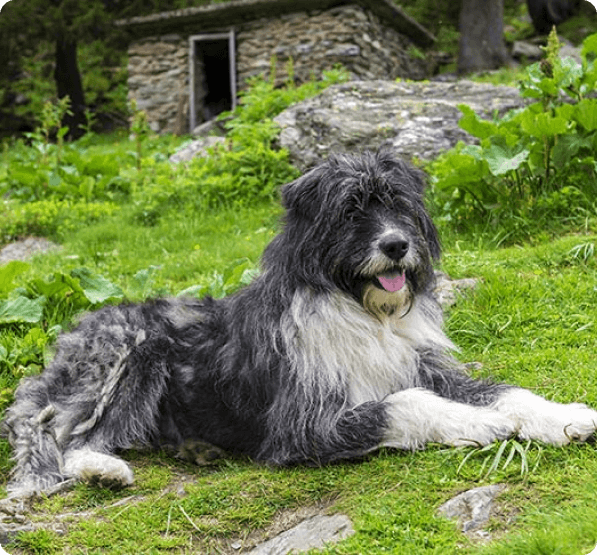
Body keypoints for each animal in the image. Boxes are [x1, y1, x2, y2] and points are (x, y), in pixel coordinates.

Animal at [3, 150, 596, 498]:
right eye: (352, 210)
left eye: (398, 204)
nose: (397, 246)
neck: (362, 309)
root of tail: (69, 337)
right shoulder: (304, 423)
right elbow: (408, 404)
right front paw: (477, 423)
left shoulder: (428, 366)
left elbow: (506, 392)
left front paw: (565, 416)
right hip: (129, 354)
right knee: (67, 435)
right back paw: (101, 469)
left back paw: (195, 449)